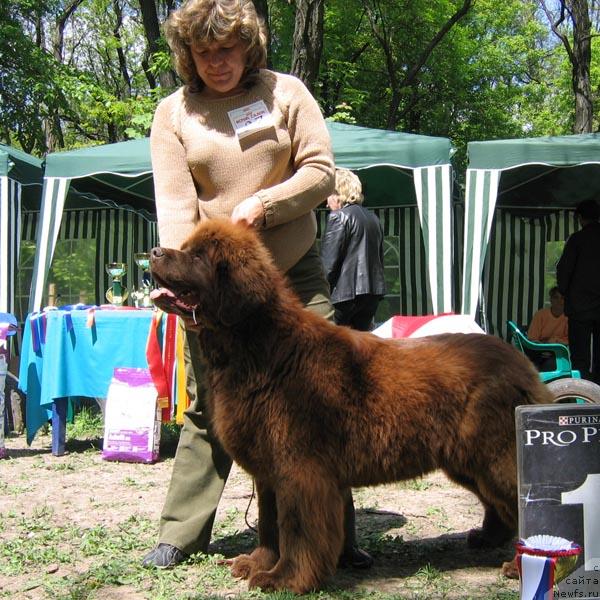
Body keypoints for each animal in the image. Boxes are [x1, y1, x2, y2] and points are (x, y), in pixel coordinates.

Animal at [150, 218, 552, 592]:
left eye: (198, 256)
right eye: (185, 247)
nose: (154, 251)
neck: (259, 349)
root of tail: (521, 363)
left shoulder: (300, 469)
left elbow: (295, 529)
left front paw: (285, 578)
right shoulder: (268, 470)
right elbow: (268, 522)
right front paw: (257, 563)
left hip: (494, 455)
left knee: (528, 501)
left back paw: (524, 564)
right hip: (466, 461)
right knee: (499, 504)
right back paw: (487, 539)